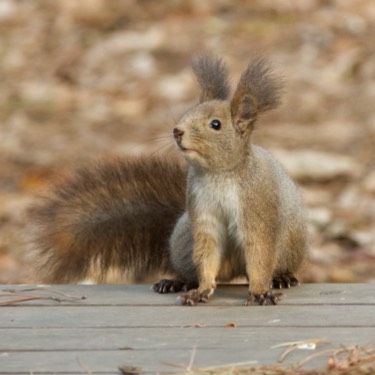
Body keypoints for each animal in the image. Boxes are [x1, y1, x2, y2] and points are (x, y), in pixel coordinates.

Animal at [30, 55, 308, 306]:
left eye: (215, 124)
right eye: (187, 112)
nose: (177, 131)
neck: (218, 174)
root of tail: (237, 270)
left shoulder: (256, 207)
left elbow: (259, 252)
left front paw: (261, 292)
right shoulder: (201, 211)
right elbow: (207, 253)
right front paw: (201, 290)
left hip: (289, 241)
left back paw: (281, 277)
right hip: (183, 238)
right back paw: (177, 282)